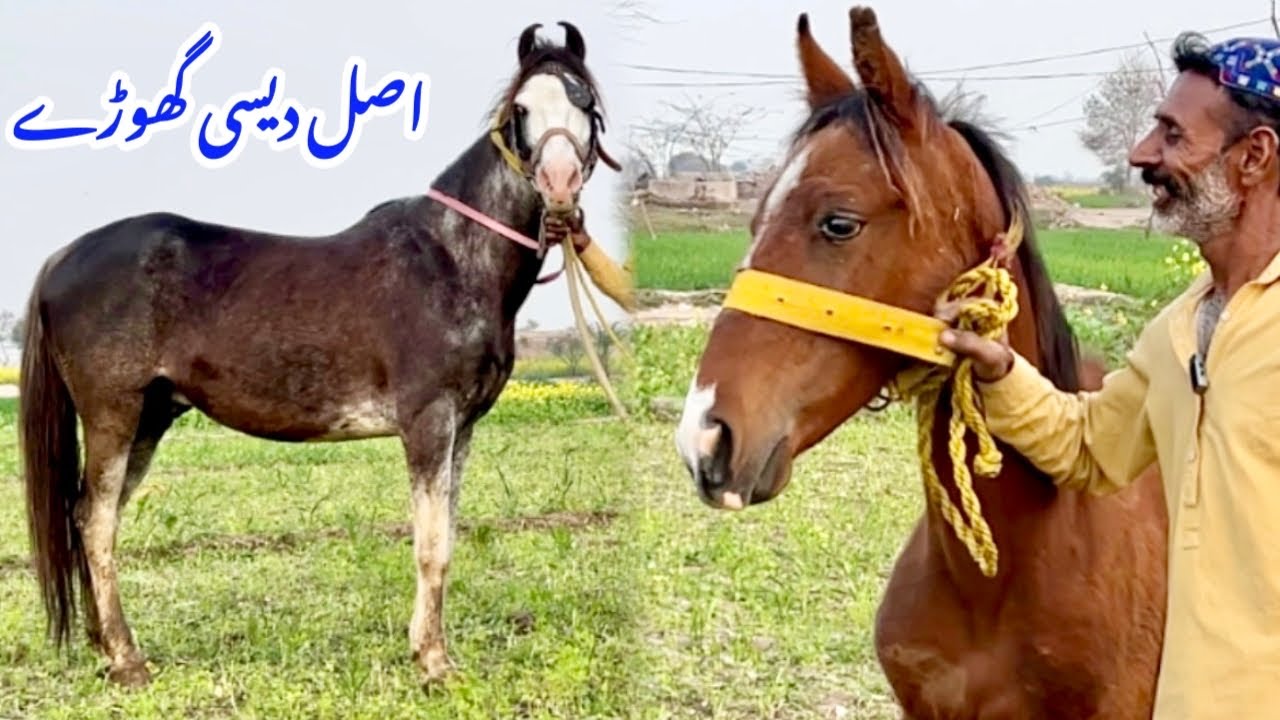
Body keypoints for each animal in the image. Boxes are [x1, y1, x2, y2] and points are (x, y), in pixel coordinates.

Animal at [18, 20, 620, 688]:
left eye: (587, 106)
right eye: (520, 111)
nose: (560, 186)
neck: (452, 258)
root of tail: (63, 256)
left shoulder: (461, 428)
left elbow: (446, 537)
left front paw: (426, 649)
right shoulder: (428, 422)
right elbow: (429, 543)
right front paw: (435, 662)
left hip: (149, 417)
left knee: (92, 521)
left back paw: (106, 646)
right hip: (113, 415)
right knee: (94, 523)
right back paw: (128, 660)